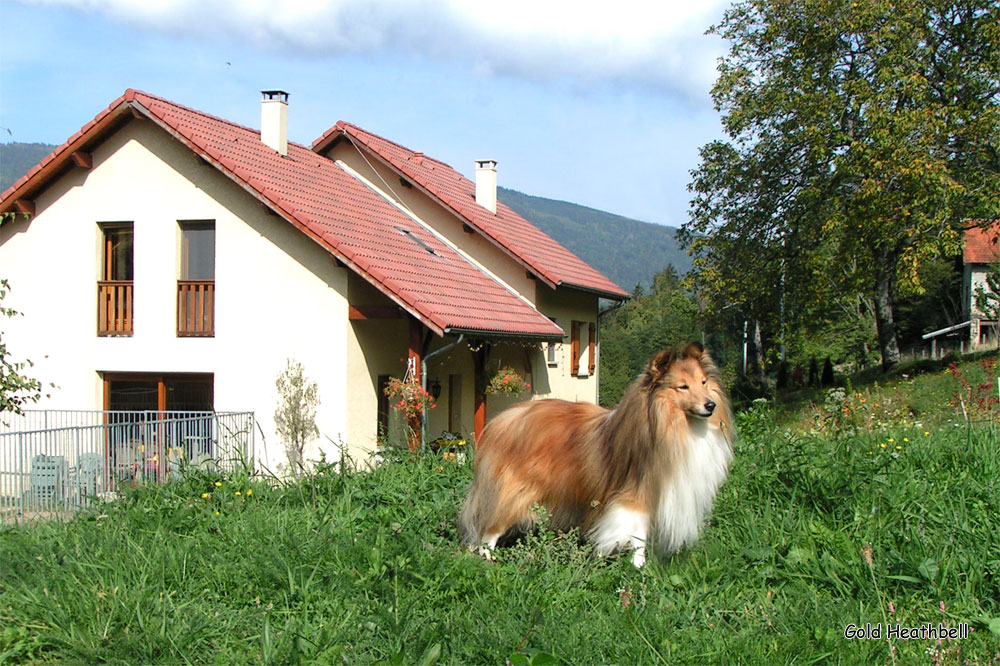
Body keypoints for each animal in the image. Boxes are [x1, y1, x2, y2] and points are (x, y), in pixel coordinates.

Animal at [460, 342, 736, 564]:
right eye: (683, 387)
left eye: (703, 382)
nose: (710, 405)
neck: (672, 425)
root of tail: (502, 421)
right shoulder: (635, 494)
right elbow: (638, 534)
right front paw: (638, 567)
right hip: (515, 492)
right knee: (490, 527)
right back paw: (488, 556)